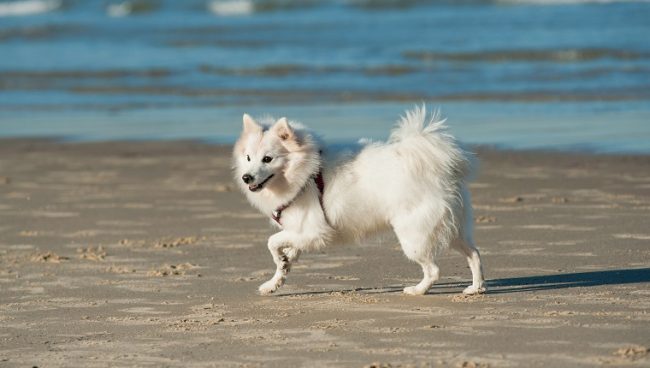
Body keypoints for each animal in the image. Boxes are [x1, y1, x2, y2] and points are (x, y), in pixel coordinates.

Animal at [232, 104, 480, 296]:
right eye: (248, 158)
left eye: (267, 159)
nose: (246, 178)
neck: (305, 173)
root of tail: (436, 166)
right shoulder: (300, 232)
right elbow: (286, 255)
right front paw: (275, 280)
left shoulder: (315, 231)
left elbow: (272, 241)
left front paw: (280, 262)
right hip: (452, 228)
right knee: (474, 254)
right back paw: (476, 288)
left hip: (414, 237)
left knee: (434, 270)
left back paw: (417, 290)